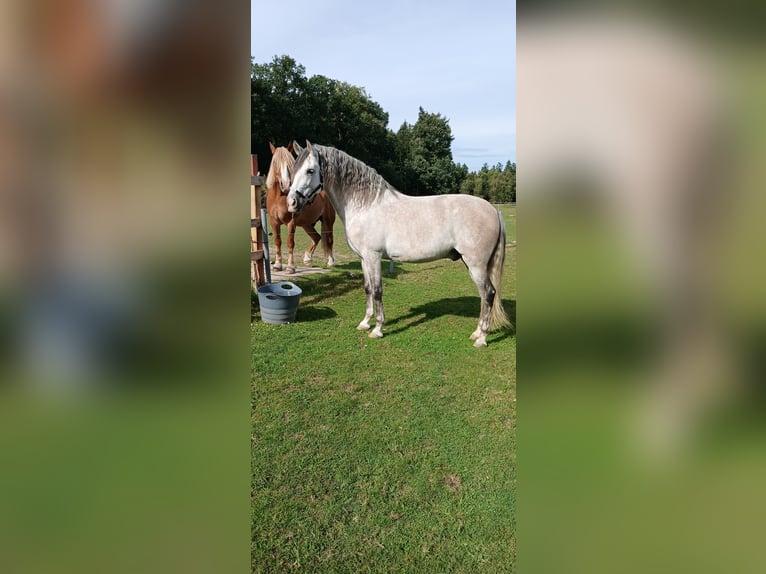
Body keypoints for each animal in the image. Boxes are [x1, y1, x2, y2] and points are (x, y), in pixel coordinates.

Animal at [265, 142, 335, 273]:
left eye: (289, 164)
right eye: (275, 162)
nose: (286, 185)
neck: (279, 197)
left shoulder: (291, 222)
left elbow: (290, 243)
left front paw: (290, 267)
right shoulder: (273, 222)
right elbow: (277, 242)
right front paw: (277, 265)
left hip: (328, 221)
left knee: (329, 239)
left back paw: (331, 261)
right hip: (306, 224)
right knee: (316, 237)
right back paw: (307, 258)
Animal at [287, 141, 511, 347]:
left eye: (310, 170)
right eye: (293, 170)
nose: (291, 203)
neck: (365, 205)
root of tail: (493, 210)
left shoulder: (374, 257)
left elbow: (377, 290)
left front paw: (377, 329)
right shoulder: (363, 259)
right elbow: (367, 289)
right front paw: (365, 323)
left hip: (476, 264)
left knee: (489, 294)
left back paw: (482, 338)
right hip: (472, 264)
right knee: (484, 296)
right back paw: (476, 333)